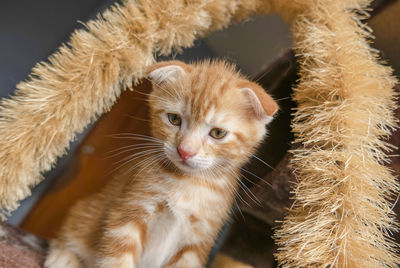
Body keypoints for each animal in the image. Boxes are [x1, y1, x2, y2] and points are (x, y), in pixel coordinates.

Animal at [45, 59, 278, 266]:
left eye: (218, 133)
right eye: (174, 119)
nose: (185, 151)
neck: (188, 183)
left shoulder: (198, 241)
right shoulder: (130, 212)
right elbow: (117, 260)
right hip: (88, 210)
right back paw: (64, 256)